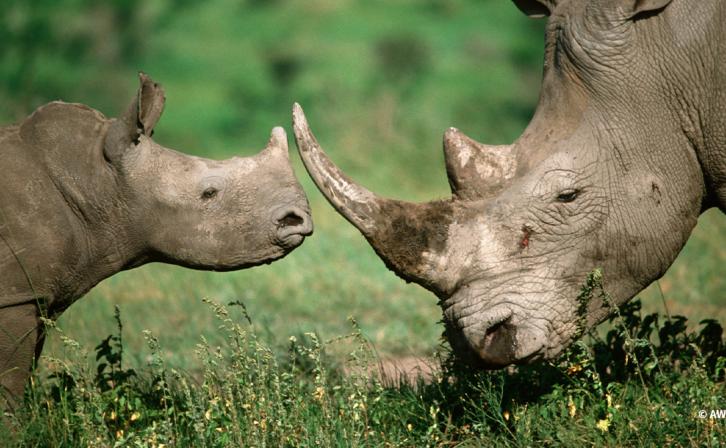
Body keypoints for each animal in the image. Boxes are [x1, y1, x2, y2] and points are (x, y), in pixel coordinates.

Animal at [0, 74, 312, 406]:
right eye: (209, 193)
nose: (297, 219)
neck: (98, 182)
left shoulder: (35, 295)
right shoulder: (16, 296)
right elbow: (9, 384)